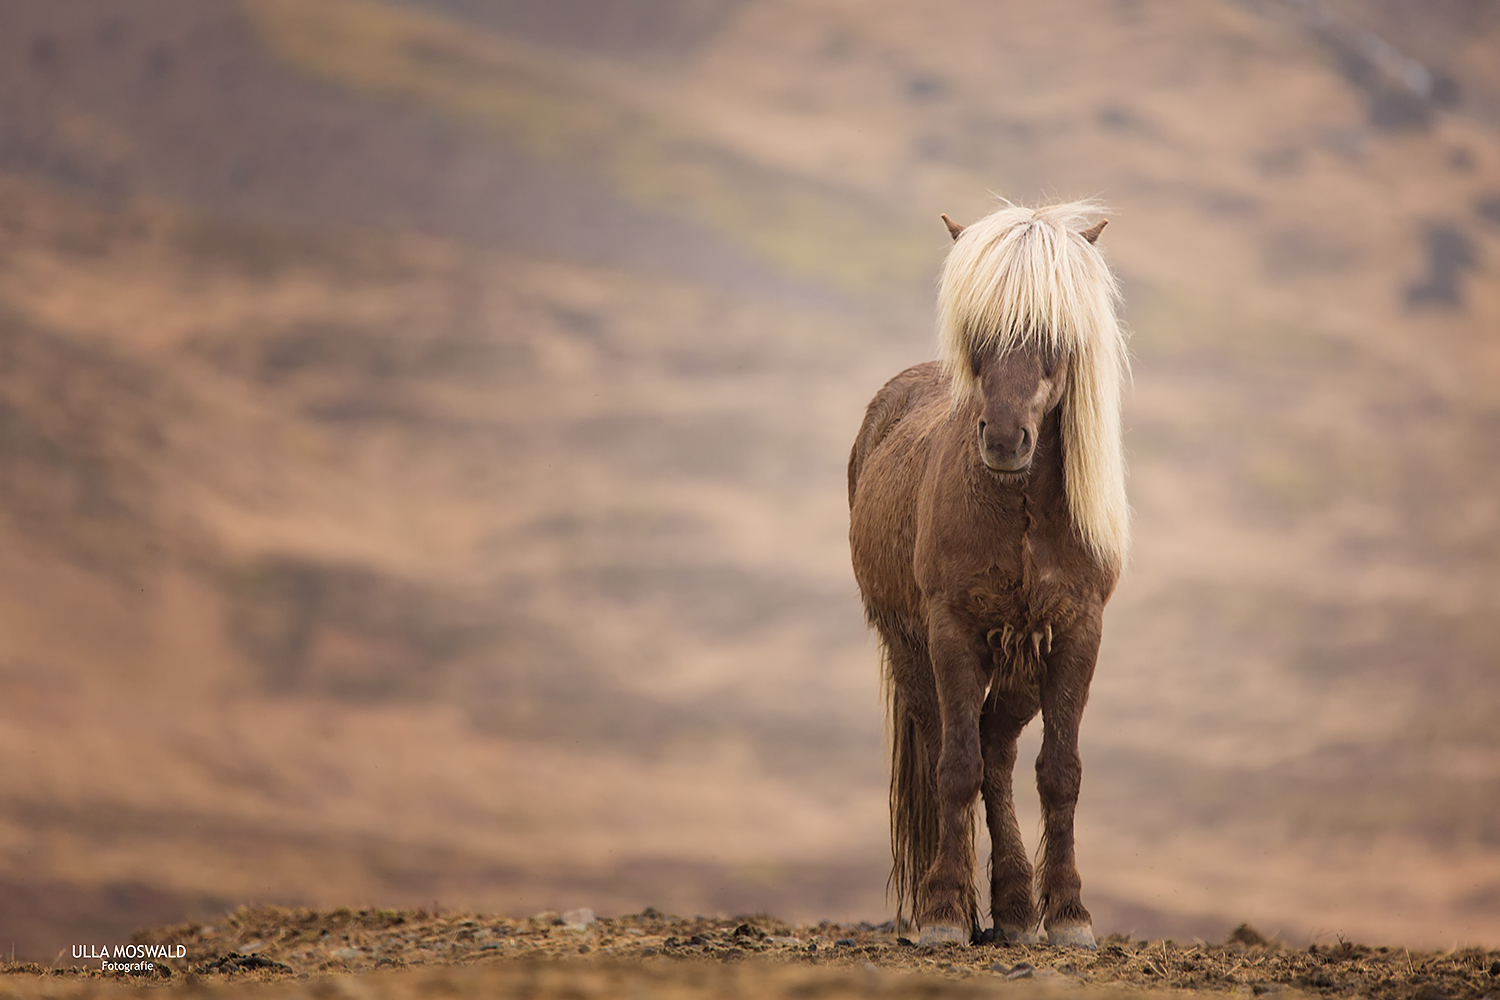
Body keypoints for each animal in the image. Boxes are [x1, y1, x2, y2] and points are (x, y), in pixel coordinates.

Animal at [852, 199, 1128, 953]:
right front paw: (945, 910)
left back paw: (1014, 908)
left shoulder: (1076, 634)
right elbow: (956, 767)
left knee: (1001, 757)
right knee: (960, 749)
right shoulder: (951, 631)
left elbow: (1059, 774)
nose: (1004, 440)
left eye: (1055, 334)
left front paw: (1068, 913)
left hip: (1020, 664)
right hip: (912, 649)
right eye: (977, 330)